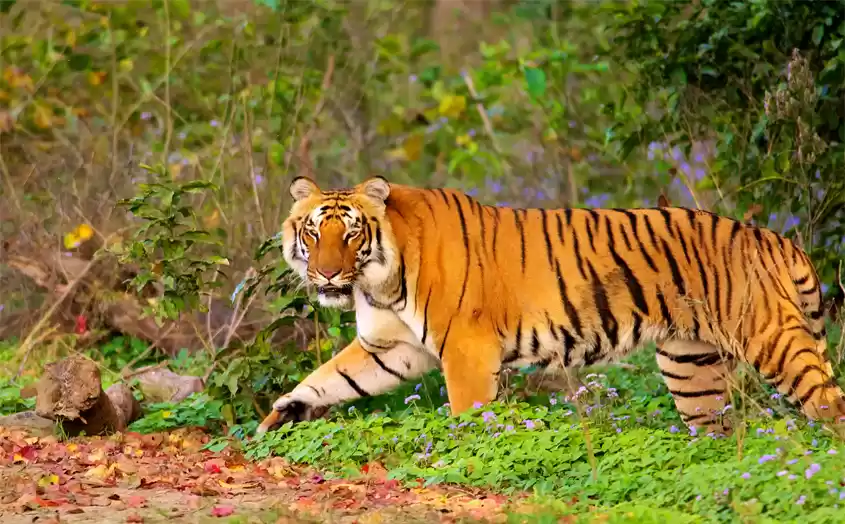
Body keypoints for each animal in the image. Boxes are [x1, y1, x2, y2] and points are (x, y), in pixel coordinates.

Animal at [255, 175, 845, 438]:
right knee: (719, 429)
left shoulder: (465, 350)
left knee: (828, 402)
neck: (381, 282)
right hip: (691, 367)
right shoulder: (390, 347)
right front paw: (280, 416)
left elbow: (468, 414)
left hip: (772, 339)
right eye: (313, 232)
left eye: (351, 234)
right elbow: (329, 378)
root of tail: (775, 239)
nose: (328, 273)